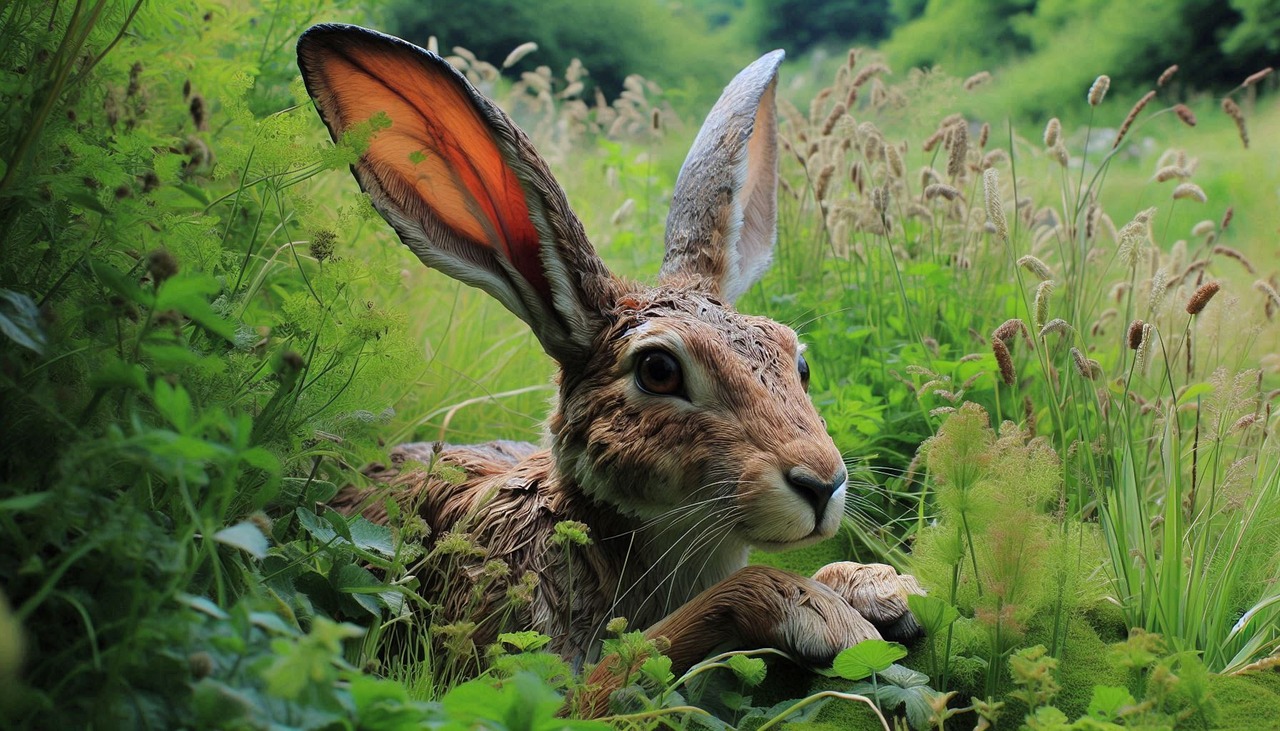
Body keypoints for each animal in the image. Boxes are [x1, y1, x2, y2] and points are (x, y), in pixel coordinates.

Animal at [296, 23, 922, 707]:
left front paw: (881, 588)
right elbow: (659, 645)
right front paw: (823, 615)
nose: (822, 483)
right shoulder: (538, 677)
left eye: (798, 363)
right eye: (658, 371)